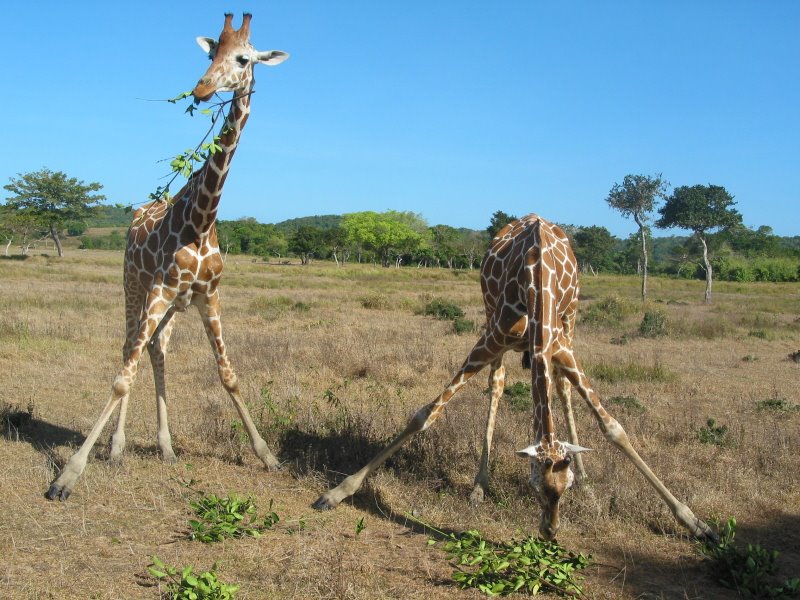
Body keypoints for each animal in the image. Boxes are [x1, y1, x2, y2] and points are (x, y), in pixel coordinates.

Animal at [45, 14, 290, 502]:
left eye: (243, 58)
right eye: (211, 52)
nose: (201, 88)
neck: (201, 219)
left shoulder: (207, 296)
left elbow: (228, 375)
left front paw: (267, 455)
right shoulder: (159, 288)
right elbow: (123, 375)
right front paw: (68, 475)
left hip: (174, 305)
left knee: (156, 350)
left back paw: (166, 447)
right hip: (134, 286)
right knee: (130, 350)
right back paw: (116, 448)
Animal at [310, 213, 716, 540]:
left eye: (563, 486)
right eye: (535, 486)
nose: (550, 533)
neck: (536, 283)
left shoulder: (559, 345)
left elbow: (613, 427)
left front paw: (696, 523)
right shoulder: (493, 338)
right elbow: (426, 414)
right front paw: (336, 493)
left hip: (571, 323)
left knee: (563, 389)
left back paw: (589, 482)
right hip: (493, 322)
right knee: (498, 385)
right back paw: (479, 485)